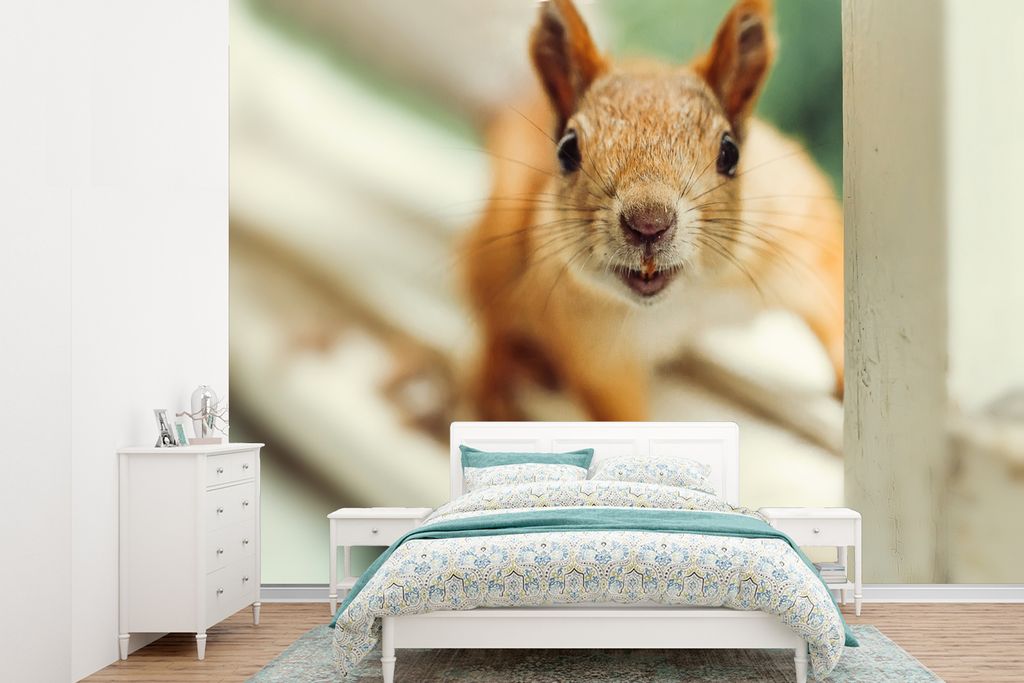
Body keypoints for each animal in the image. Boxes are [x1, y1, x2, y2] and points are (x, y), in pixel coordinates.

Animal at [460, 0, 843, 421]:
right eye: (566, 150)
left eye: (730, 152)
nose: (648, 224)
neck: (685, 296)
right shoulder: (593, 347)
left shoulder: (800, 232)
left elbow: (834, 299)